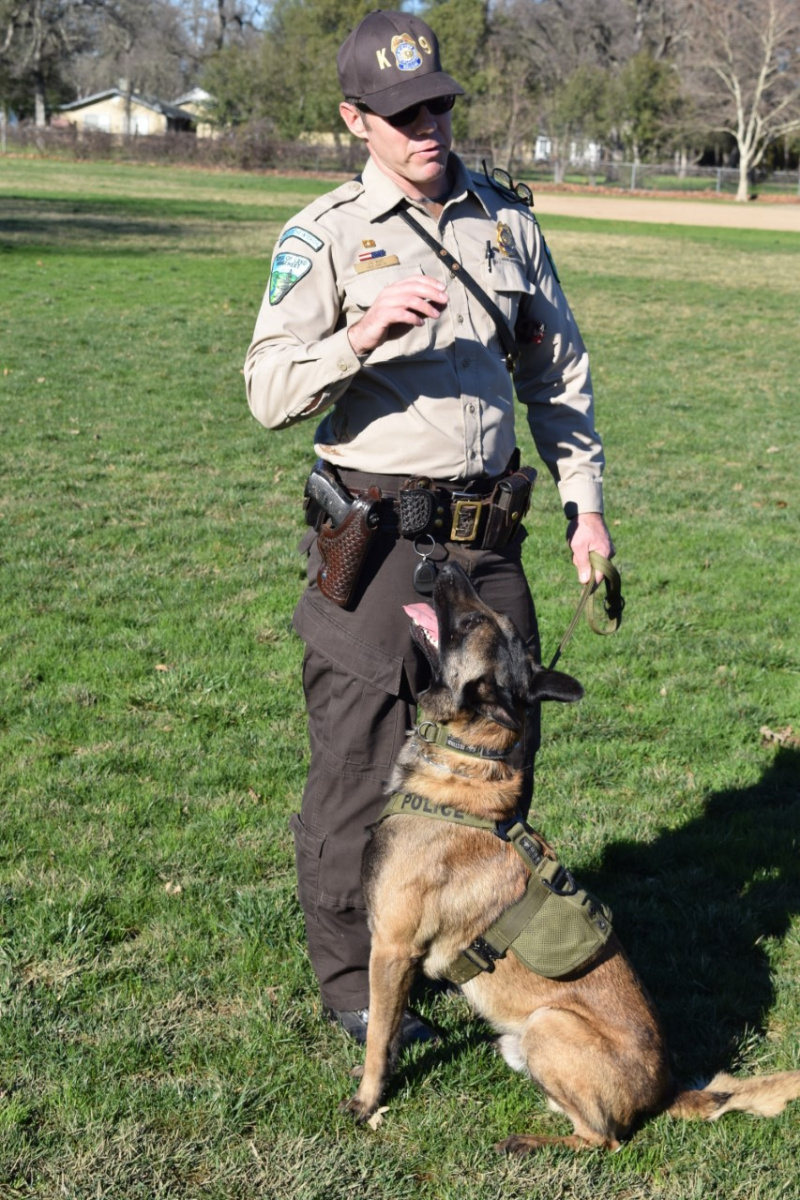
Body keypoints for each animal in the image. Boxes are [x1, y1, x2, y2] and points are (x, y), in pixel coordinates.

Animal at [340, 561, 800, 1152]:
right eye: (486, 617)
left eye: (468, 624)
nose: (445, 563)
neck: (466, 759)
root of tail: (668, 1091)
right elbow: (389, 1032)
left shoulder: (392, 949)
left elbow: (380, 1035)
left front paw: (367, 1101)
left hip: (549, 1023)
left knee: (605, 1138)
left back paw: (530, 1144)